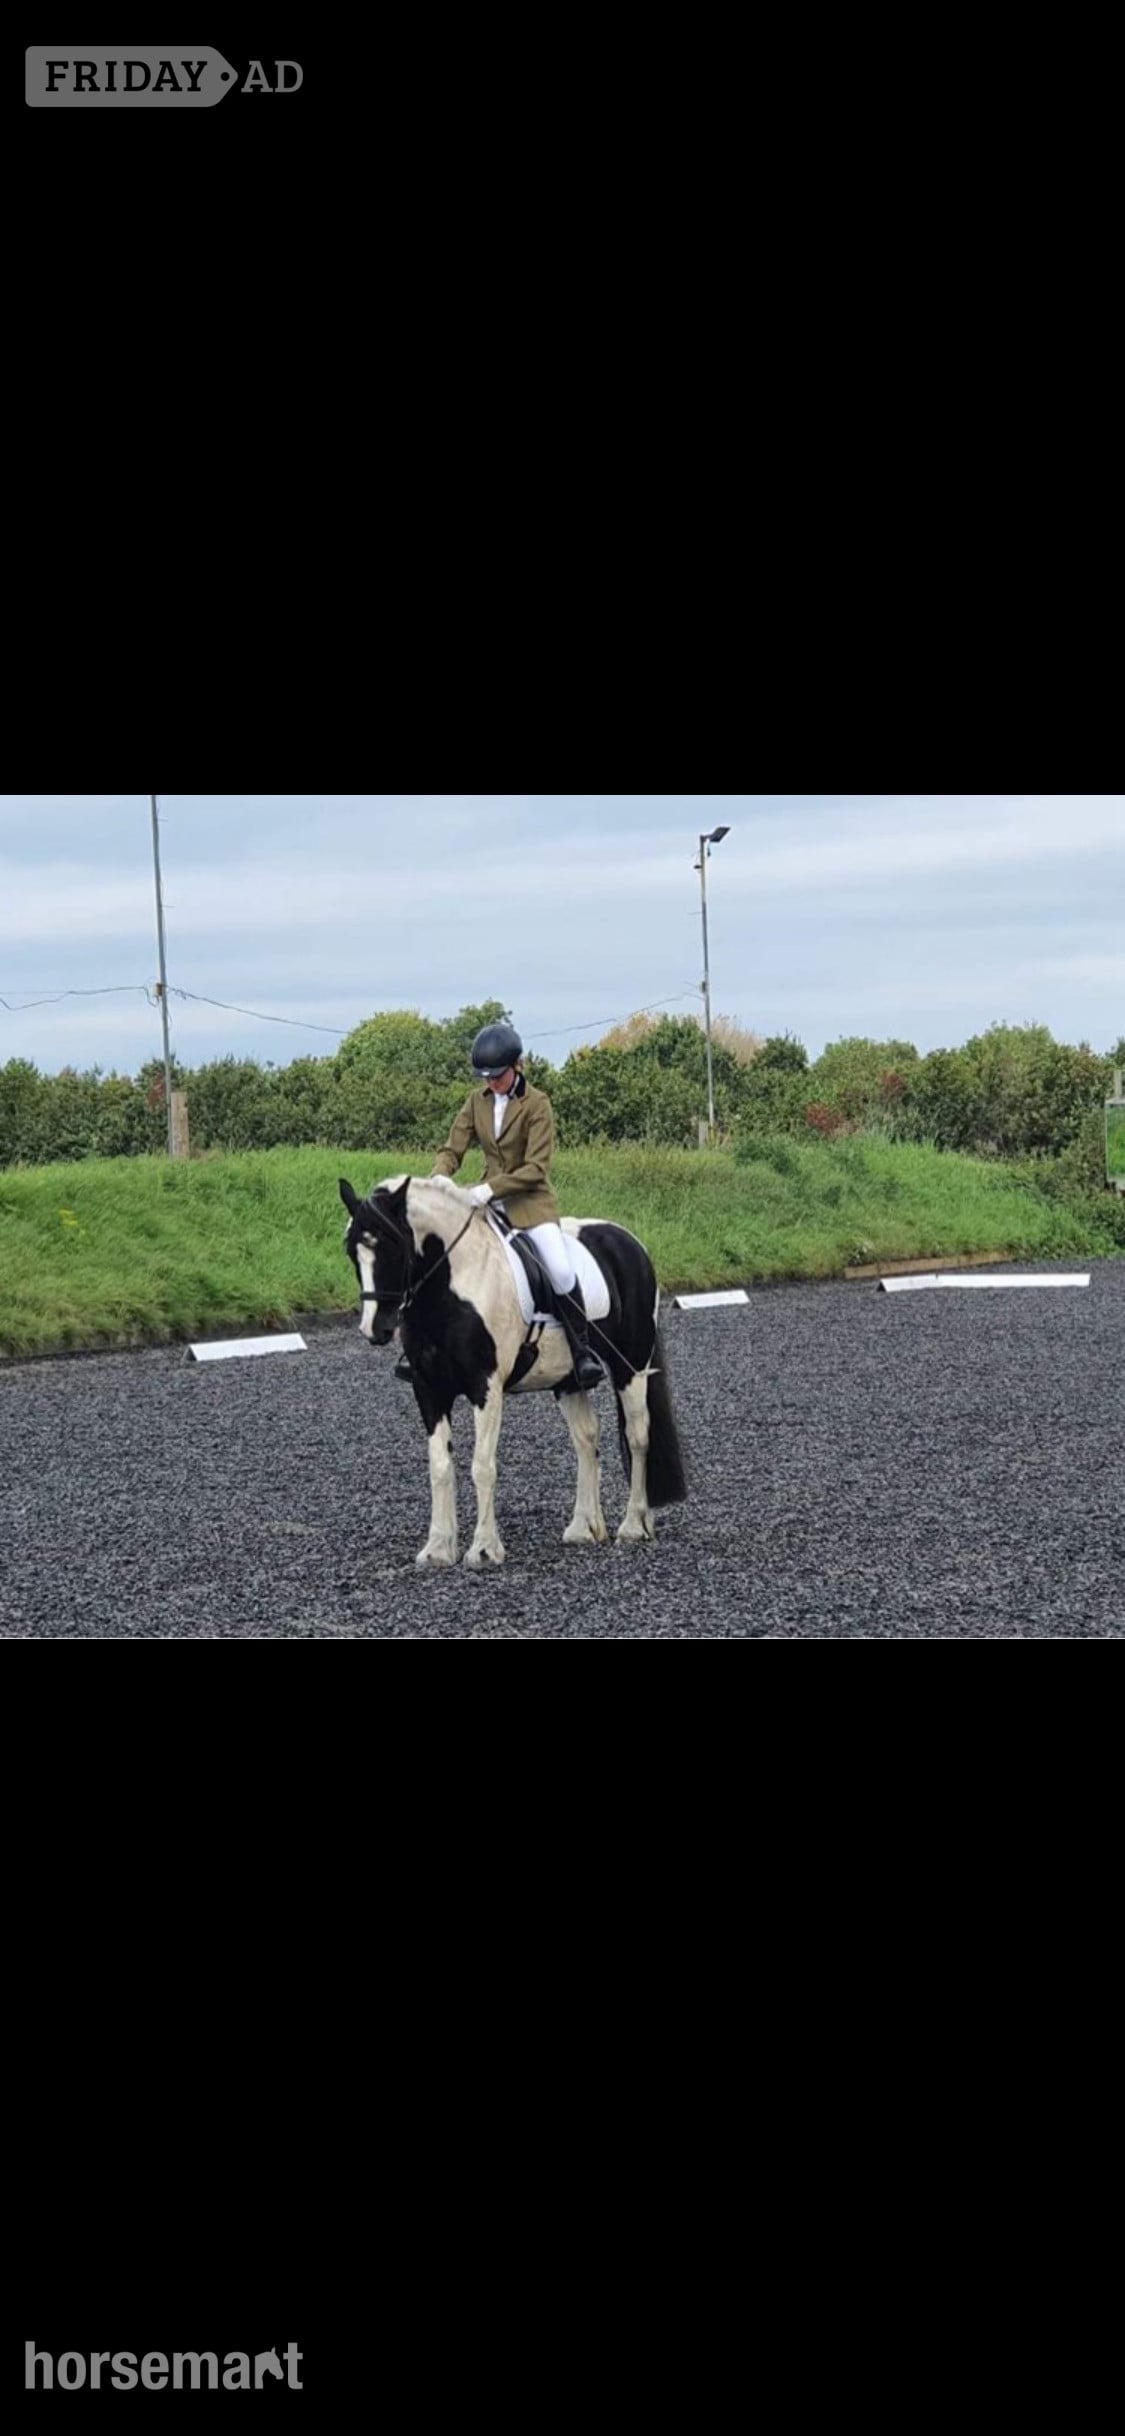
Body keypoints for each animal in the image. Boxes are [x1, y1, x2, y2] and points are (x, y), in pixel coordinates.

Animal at [339, 1172, 687, 1568]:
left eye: (394, 1246)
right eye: (352, 1251)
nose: (375, 1329)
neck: (454, 1284)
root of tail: (629, 1241)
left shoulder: (485, 1387)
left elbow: (482, 1466)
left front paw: (484, 1548)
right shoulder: (428, 1389)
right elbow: (440, 1466)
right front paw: (438, 1548)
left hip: (632, 1366)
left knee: (637, 1436)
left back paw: (633, 1525)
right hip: (568, 1379)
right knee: (586, 1437)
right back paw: (584, 1527)